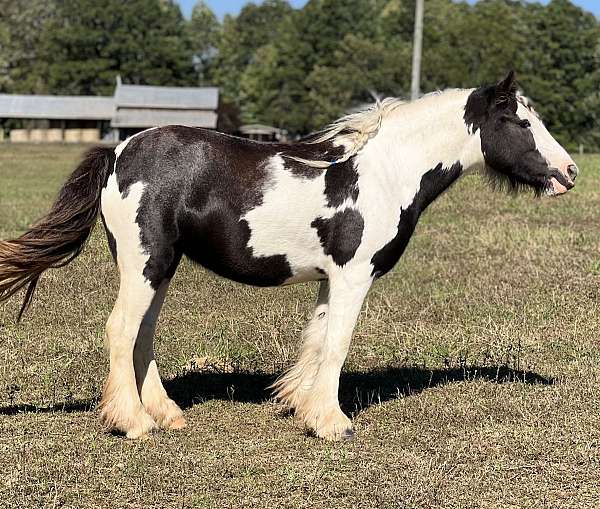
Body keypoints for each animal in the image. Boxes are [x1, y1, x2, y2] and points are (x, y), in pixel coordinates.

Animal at [0, 72, 580, 440]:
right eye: (520, 123)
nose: (570, 172)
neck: (383, 174)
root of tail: (119, 150)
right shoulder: (354, 277)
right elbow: (338, 344)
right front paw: (333, 423)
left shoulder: (332, 279)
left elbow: (319, 341)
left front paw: (304, 409)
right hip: (146, 264)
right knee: (122, 330)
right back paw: (136, 424)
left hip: (159, 267)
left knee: (141, 335)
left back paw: (166, 415)